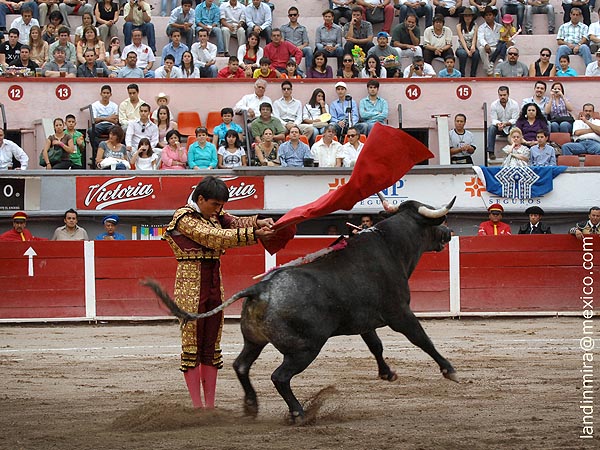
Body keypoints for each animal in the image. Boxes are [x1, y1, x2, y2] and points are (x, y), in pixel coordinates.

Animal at [144, 197, 458, 423]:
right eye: (435, 219)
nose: (448, 232)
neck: (391, 247)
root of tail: (259, 289)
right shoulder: (399, 313)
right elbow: (421, 339)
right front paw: (449, 370)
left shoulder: (364, 320)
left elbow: (375, 345)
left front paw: (387, 373)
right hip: (305, 348)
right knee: (280, 377)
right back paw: (299, 413)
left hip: (254, 340)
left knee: (241, 365)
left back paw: (252, 405)